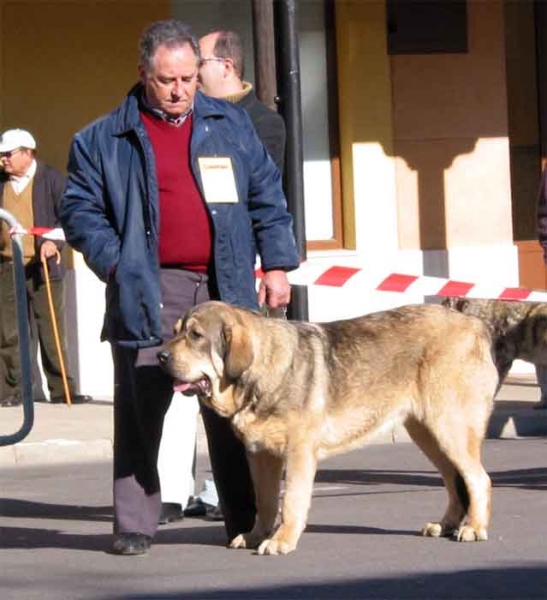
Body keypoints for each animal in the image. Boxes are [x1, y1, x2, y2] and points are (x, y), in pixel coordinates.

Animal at [157, 302, 496, 556]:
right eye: (175, 333)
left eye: (196, 335)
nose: (160, 356)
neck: (260, 372)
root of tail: (473, 324)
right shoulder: (260, 456)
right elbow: (266, 502)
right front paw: (256, 536)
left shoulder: (298, 453)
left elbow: (291, 501)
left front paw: (281, 540)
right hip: (427, 433)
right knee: (454, 482)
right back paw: (446, 524)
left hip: (449, 428)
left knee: (478, 479)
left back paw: (474, 528)